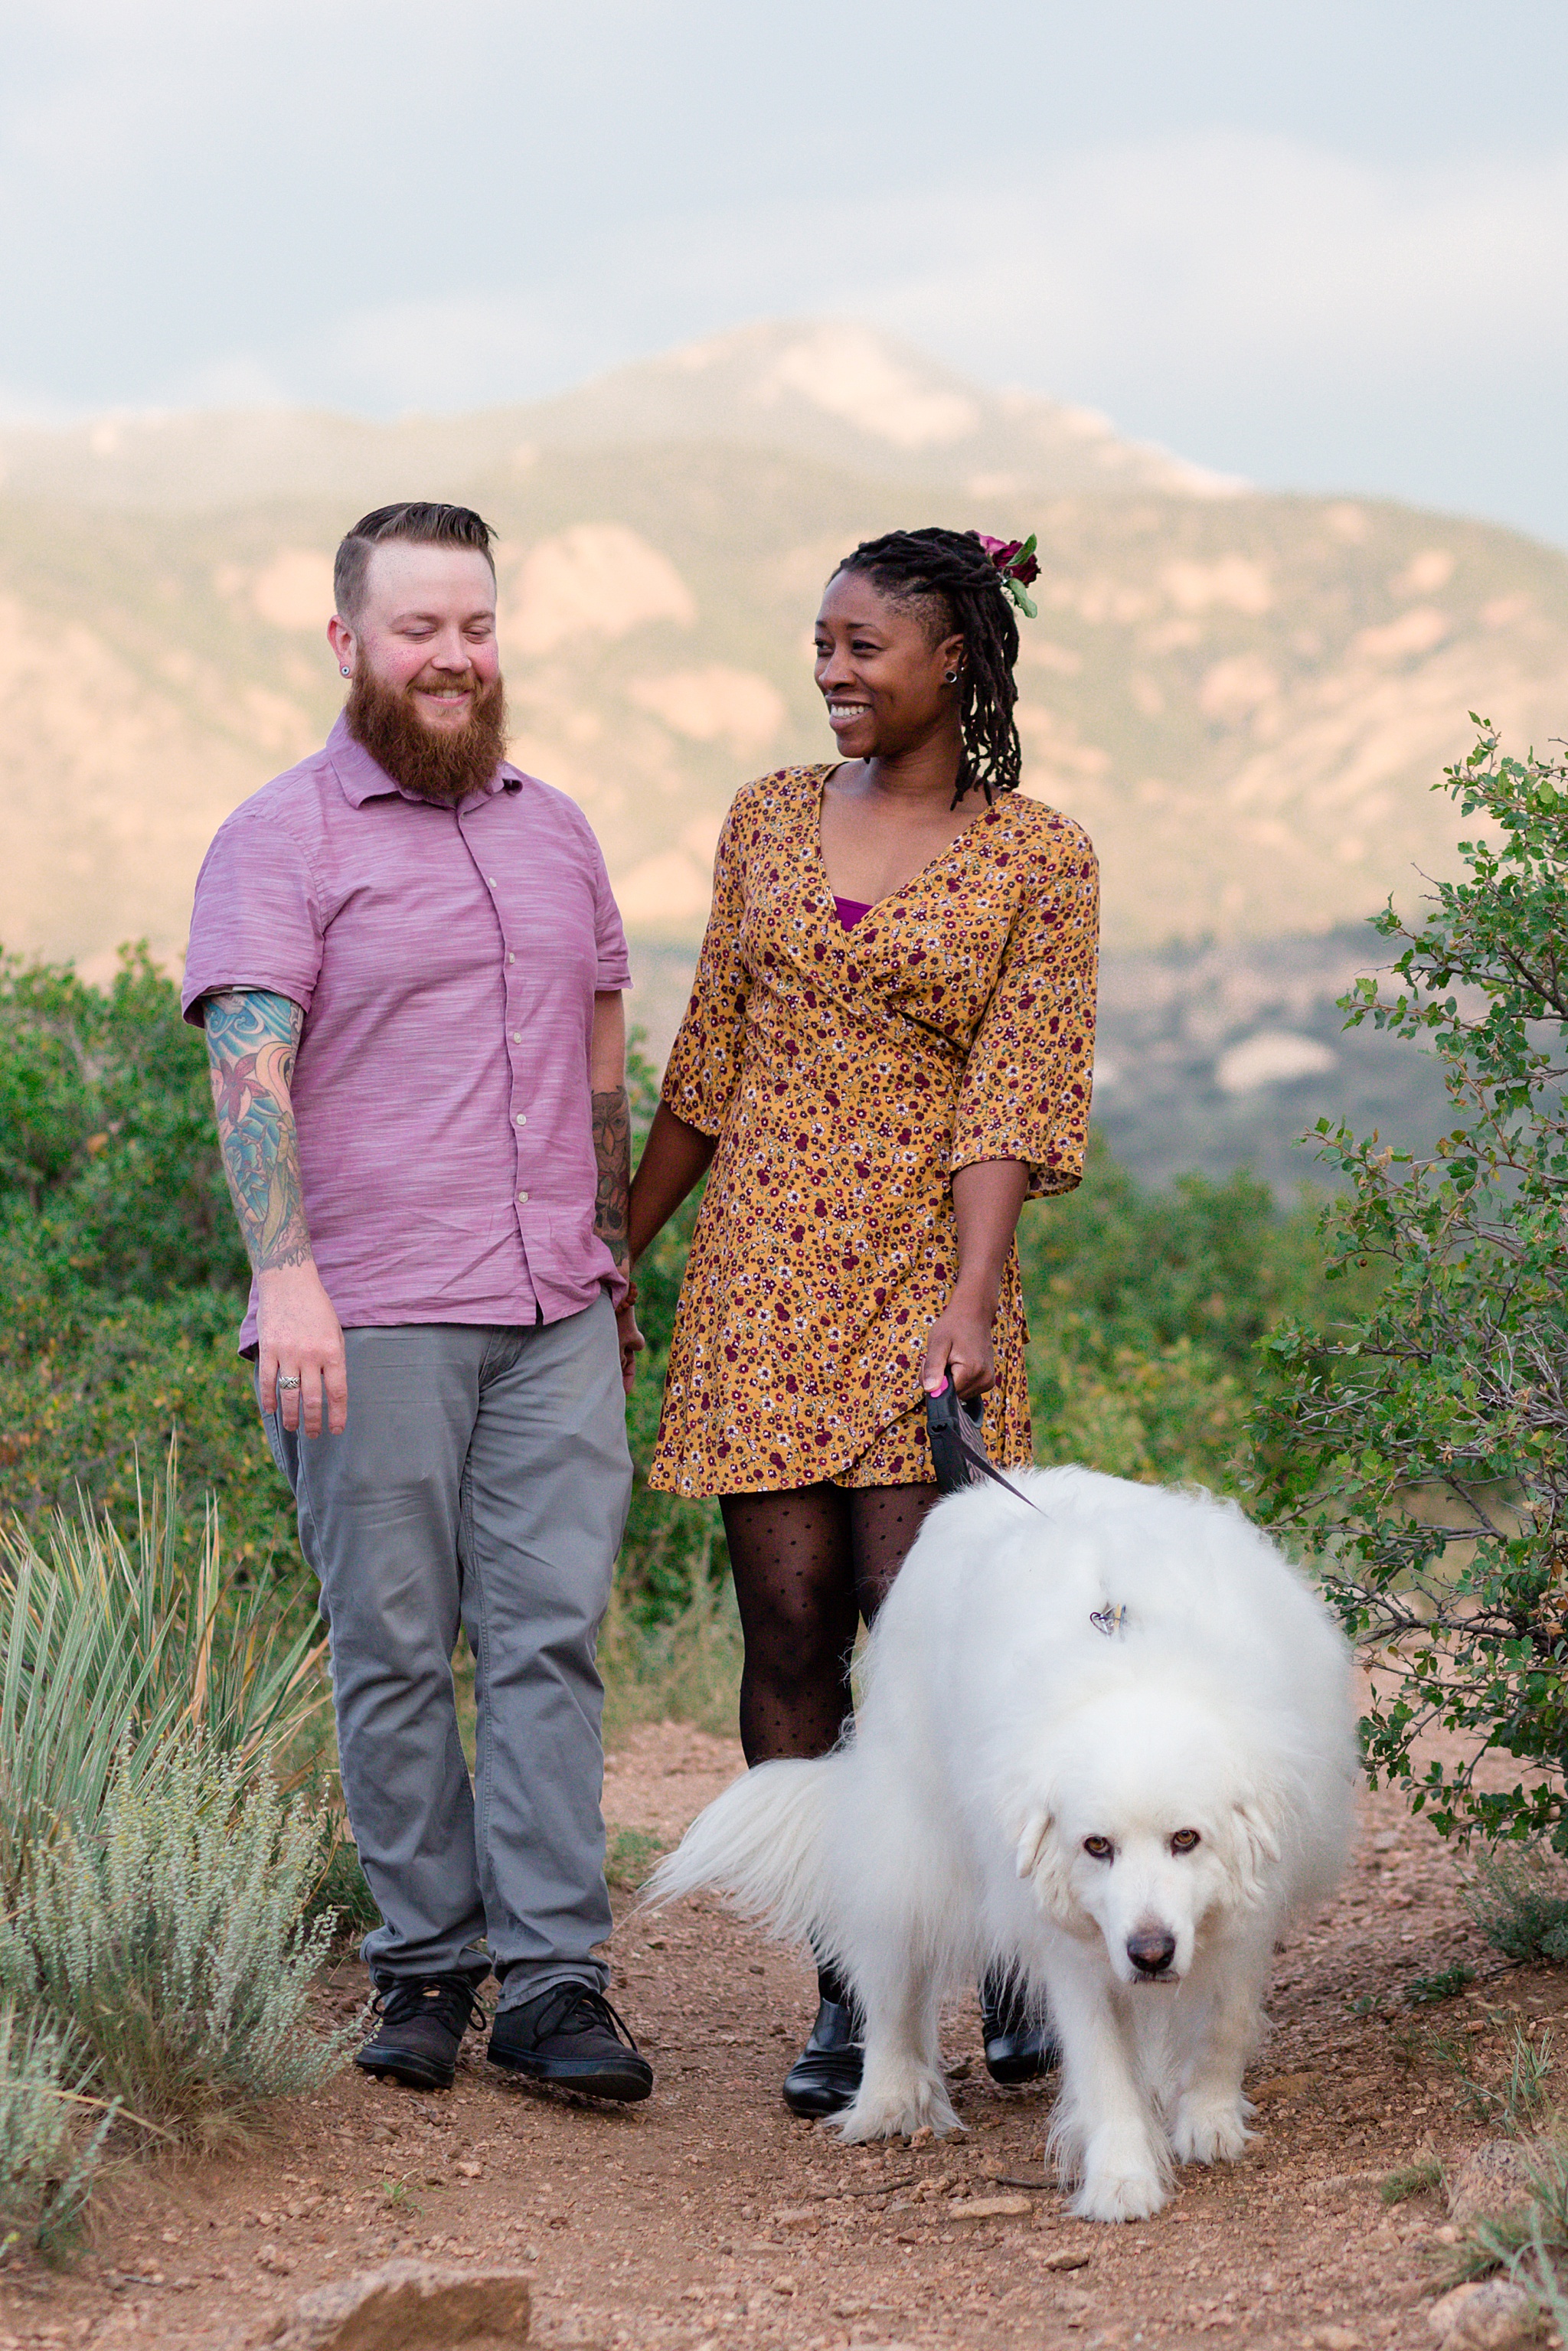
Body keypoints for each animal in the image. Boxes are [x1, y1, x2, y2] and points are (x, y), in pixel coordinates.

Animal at [653, 1467, 1363, 2219]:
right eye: (1096, 1846)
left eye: (1186, 1838)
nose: (1150, 1953)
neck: (1129, 1670)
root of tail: (979, 1489)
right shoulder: (1078, 1941)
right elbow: (1103, 2065)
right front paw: (1122, 2179)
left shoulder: (1246, 1908)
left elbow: (1223, 2021)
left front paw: (1208, 2117)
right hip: (915, 1843)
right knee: (892, 1970)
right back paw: (890, 2097)